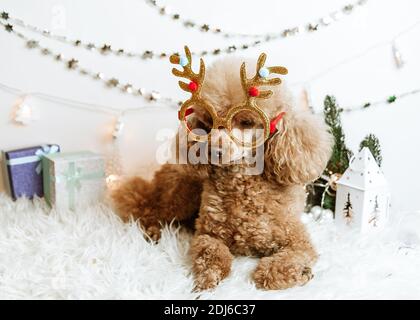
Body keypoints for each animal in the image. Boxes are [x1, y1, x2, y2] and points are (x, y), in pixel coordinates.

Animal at [110, 48, 332, 292]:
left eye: (246, 122)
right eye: (207, 123)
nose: (213, 150)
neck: (242, 185)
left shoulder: (296, 239)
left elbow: (286, 261)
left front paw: (292, 272)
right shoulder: (208, 233)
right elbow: (211, 253)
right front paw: (207, 279)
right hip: (180, 194)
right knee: (148, 207)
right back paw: (152, 231)